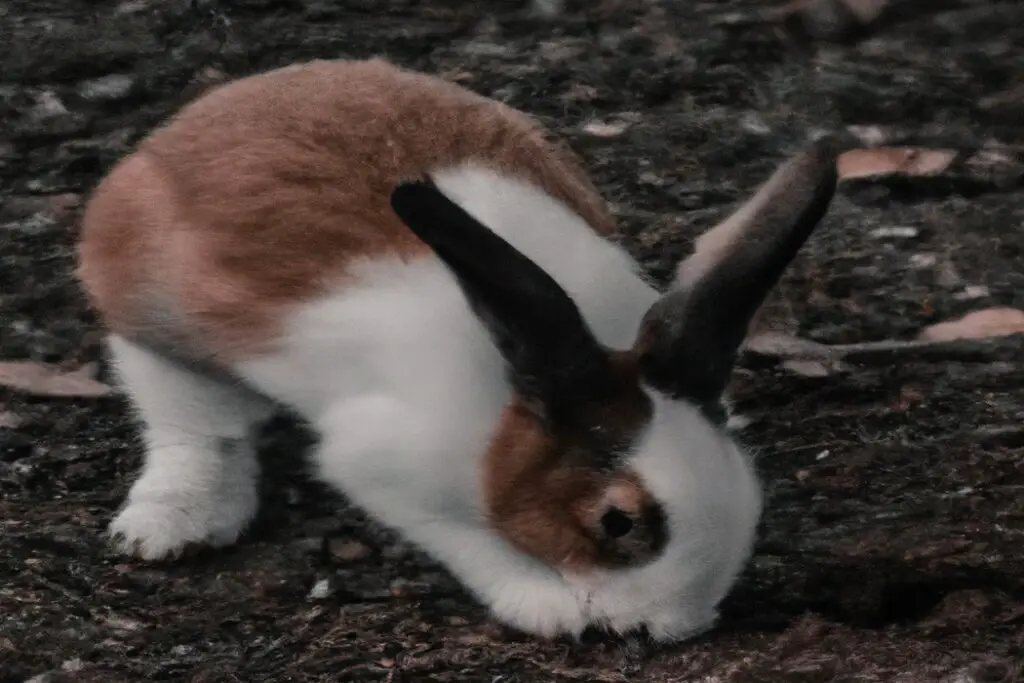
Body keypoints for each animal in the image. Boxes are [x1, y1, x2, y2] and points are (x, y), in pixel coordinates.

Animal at [76, 57, 841, 642]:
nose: (671, 626)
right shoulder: (388, 467)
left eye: (749, 493)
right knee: (193, 418)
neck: (506, 407)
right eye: (617, 521)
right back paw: (174, 525)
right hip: (157, 320)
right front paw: (554, 608)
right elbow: (469, 538)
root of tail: (201, 116)